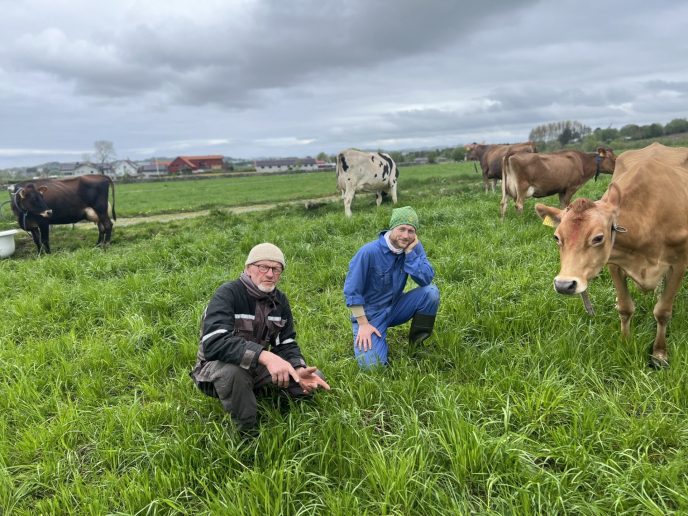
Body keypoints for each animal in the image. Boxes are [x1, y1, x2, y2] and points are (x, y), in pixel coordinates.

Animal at [536, 141, 688, 366]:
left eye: (598, 238)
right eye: (557, 237)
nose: (564, 284)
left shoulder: (679, 264)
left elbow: (663, 311)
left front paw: (659, 354)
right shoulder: (615, 264)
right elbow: (625, 307)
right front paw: (625, 343)